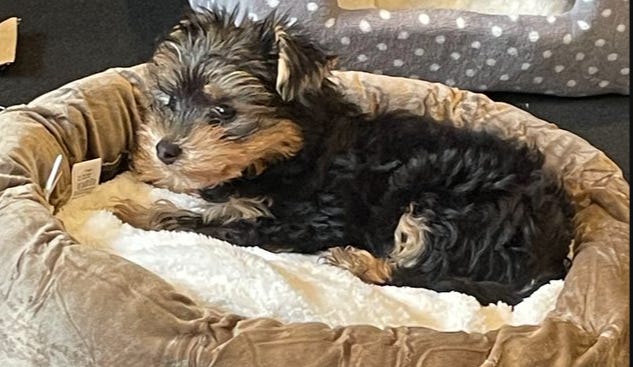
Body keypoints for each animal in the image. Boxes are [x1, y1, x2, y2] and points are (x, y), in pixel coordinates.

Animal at [117, 7, 572, 308]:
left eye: (224, 111)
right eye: (169, 100)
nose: (166, 149)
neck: (288, 149)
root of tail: (553, 246)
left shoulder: (301, 219)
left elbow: (207, 222)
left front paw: (135, 212)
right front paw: (152, 171)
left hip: (447, 207)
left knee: (428, 275)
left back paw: (356, 262)